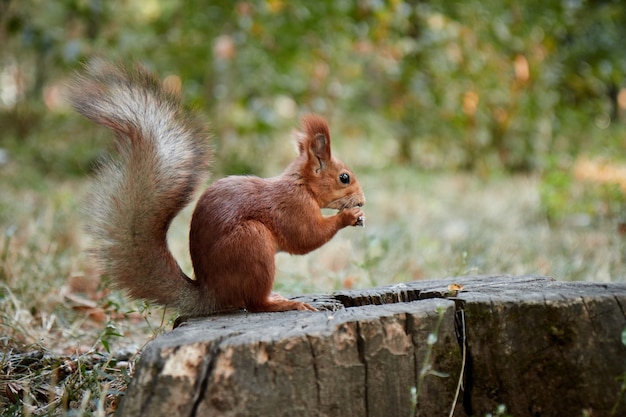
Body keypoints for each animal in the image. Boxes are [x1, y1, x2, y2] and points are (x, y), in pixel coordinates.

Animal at [66, 60, 364, 316]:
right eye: (344, 178)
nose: (361, 201)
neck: (303, 186)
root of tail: (211, 294)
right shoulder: (293, 207)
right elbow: (307, 237)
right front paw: (349, 217)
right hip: (251, 242)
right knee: (254, 303)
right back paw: (283, 303)